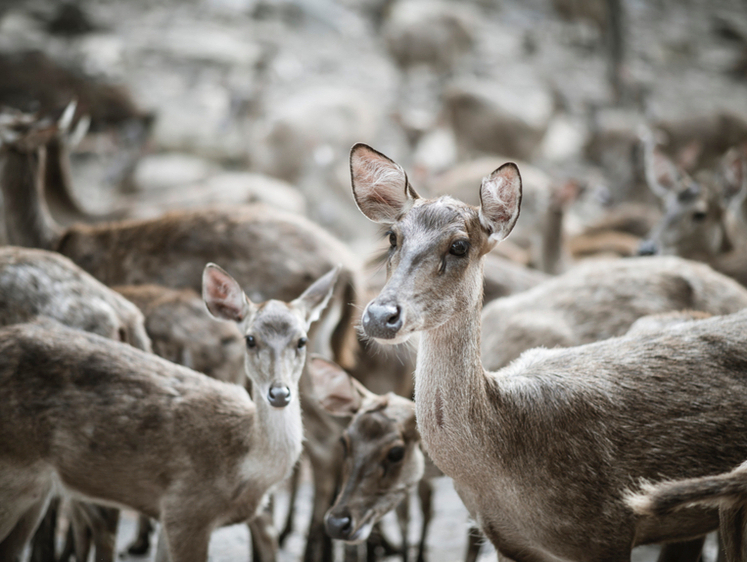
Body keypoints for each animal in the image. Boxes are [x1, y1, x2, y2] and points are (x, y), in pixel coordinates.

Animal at [0, 264, 336, 560]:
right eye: (251, 339)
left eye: (302, 340)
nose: (279, 393)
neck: (239, 463)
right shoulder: (185, 508)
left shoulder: (169, 514)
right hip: (14, 474)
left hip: (35, 491)